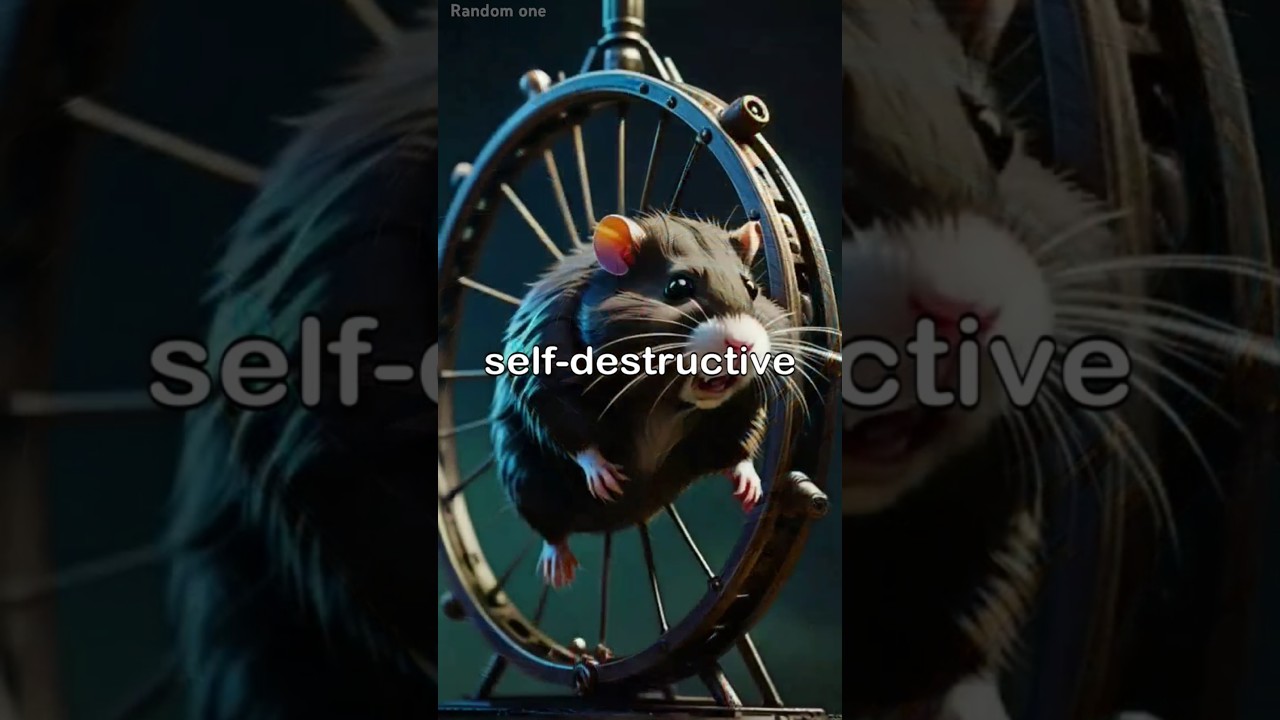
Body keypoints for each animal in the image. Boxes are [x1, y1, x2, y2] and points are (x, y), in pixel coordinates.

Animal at [490, 212, 791, 588]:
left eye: (751, 289)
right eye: (678, 287)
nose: (743, 346)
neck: (657, 398)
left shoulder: (745, 405)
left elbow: (740, 436)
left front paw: (750, 486)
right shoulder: (544, 364)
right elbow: (563, 423)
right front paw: (604, 474)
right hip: (527, 479)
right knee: (549, 524)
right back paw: (558, 567)